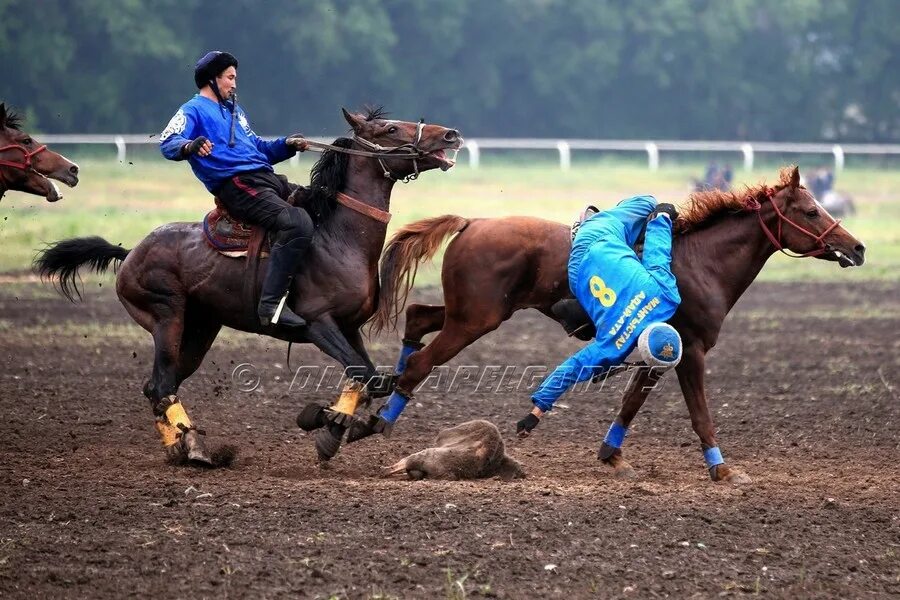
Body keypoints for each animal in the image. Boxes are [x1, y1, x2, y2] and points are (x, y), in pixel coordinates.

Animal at [34, 108, 460, 464]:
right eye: (391, 129)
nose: (450, 134)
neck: (336, 237)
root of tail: (131, 252)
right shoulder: (318, 324)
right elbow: (364, 374)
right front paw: (322, 423)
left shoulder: (349, 326)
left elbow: (370, 377)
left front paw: (330, 424)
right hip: (166, 319)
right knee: (161, 385)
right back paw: (194, 448)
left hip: (199, 331)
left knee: (156, 386)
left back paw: (178, 446)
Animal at [366, 166, 864, 486]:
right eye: (810, 211)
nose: (857, 247)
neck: (701, 261)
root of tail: (472, 221)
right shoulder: (690, 350)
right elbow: (700, 414)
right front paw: (722, 469)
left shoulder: (655, 353)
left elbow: (630, 404)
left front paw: (612, 457)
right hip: (476, 319)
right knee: (422, 364)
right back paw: (378, 422)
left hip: (470, 313)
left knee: (418, 317)